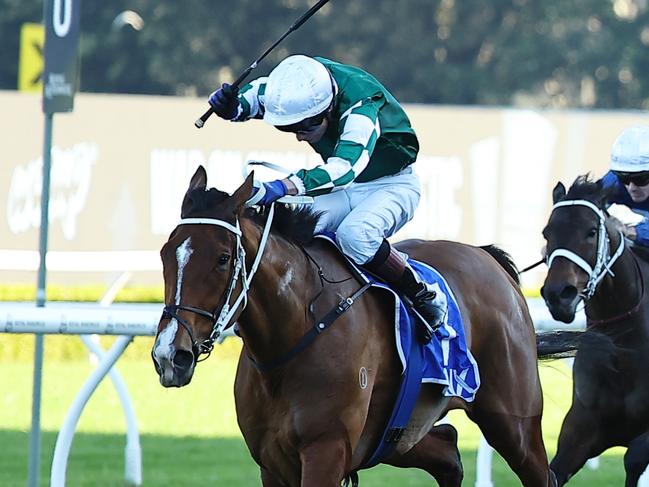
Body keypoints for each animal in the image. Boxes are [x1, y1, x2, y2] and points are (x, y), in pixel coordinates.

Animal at [151, 166, 552, 486]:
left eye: (222, 258)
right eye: (165, 253)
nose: (170, 354)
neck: (295, 333)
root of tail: (489, 258)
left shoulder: (326, 449)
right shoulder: (272, 462)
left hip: (514, 422)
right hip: (398, 436)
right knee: (450, 451)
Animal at [540, 176, 648, 487]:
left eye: (591, 232)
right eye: (547, 233)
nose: (558, 295)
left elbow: (633, 459)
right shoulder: (580, 429)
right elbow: (553, 472)